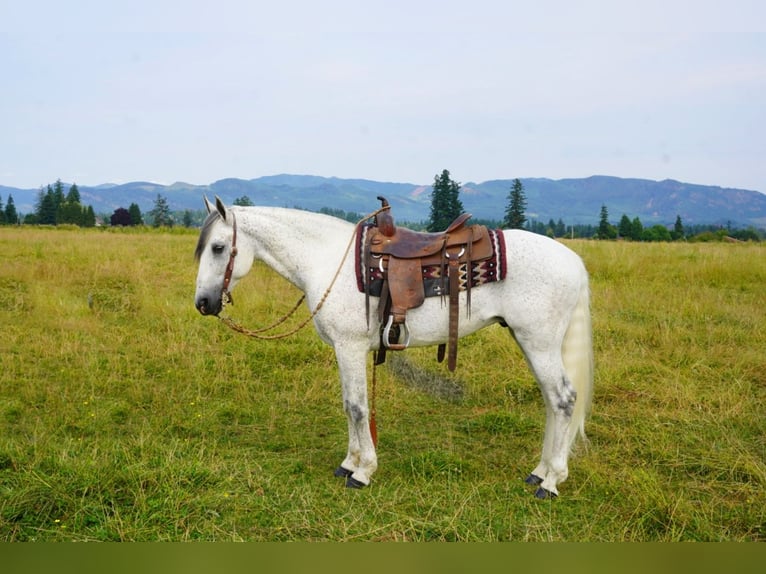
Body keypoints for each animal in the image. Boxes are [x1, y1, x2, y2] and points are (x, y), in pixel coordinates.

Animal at [195, 198, 596, 500]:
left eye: (218, 248)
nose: (203, 303)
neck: (326, 260)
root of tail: (573, 261)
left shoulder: (350, 346)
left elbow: (358, 408)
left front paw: (363, 472)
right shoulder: (345, 350)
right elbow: (349, 406)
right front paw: (349, 463)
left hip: (538, 342)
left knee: (563, 399)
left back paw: (551, 481)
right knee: (552, 401)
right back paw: (540, 471)